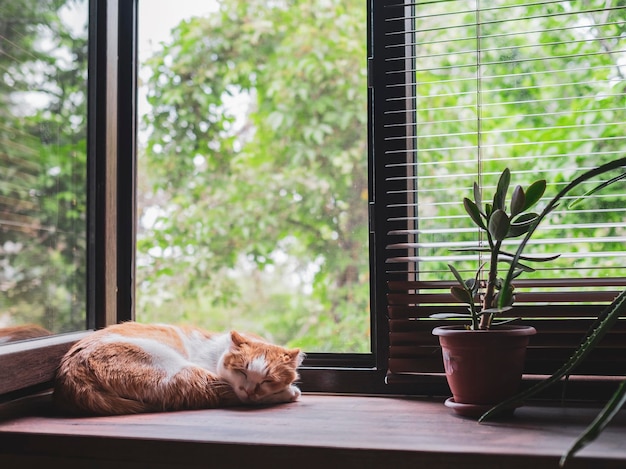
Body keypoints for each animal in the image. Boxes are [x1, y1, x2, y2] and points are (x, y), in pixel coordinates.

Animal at [54, 320, 304, 414]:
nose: (250, 390)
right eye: (241, 371)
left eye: (268, 380)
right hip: (176, 369)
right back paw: (289, 393)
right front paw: (288, 391)